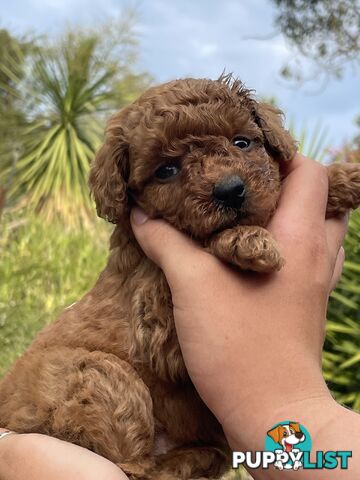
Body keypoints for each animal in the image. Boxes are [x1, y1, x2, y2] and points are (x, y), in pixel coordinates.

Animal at [0, 76, 360, 480]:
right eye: (166, 171)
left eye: (242, 142)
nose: (230, 190)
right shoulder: (157, 320)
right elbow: (204, 241)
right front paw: (247, 240)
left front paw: (345, 178)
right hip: (98, 373)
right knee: (133, 467)